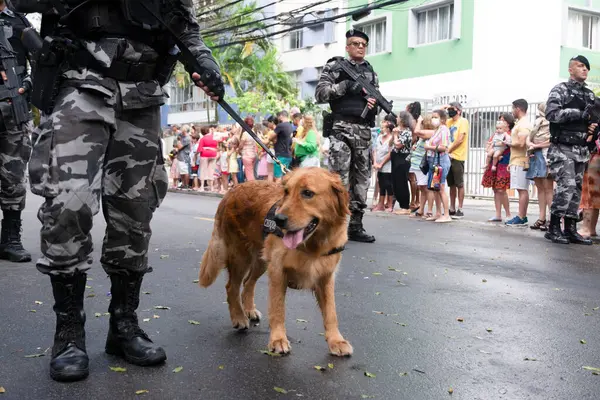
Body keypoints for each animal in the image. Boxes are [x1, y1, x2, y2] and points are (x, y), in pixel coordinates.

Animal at [199, 166, 354, 356]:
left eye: (307, 193)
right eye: (286, 192)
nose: (278, 220)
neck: (312, 246)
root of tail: (232, 190)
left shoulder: (325, 277)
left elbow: (331, 312)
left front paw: (336, 341)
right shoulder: (278, 272)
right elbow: (278, 309)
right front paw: (278, 339)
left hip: (262, 261)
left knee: (248, 283)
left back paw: (249, 310)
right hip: (241, 257)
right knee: (232, 287)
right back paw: (239, 317)